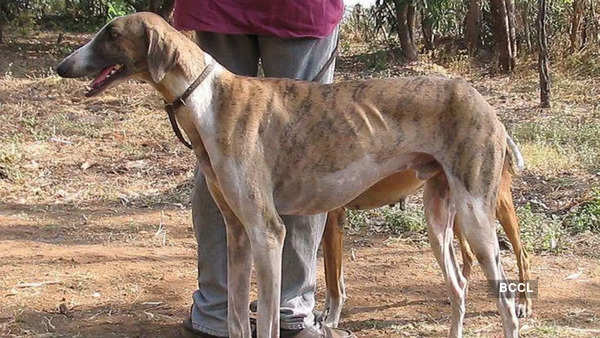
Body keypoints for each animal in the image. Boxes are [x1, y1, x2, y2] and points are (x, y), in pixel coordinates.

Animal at [57, 11, 520, 336]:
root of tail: (485, 105)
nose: (61, 67)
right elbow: (236, 321)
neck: (207, 98)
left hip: (477, 221)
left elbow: (268, 322)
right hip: (440, 219)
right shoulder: (237, 233)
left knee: (508, 307)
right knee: (459, 289)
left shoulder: (267, 232)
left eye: (111, 34)